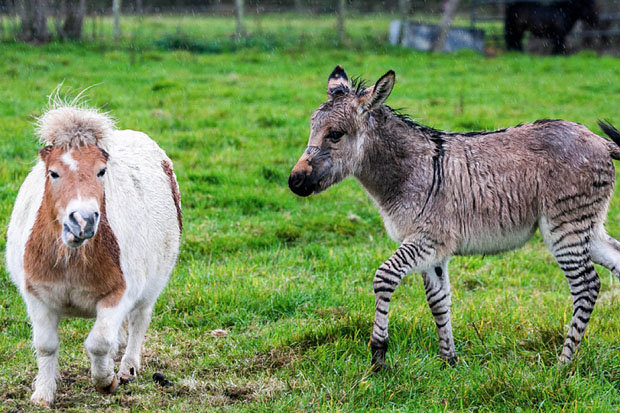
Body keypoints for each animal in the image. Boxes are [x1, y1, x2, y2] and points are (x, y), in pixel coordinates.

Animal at [7, 101, 182, 404]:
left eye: (102, 171)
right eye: (53, 173)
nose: (84, 220)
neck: (72, 259)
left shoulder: (120, 294)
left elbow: (99, 342)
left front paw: (106, 381)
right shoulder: (36, 295)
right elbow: (46, 345)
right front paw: (43, 394)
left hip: (151, 286)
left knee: (138, 322)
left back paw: (126, 370)